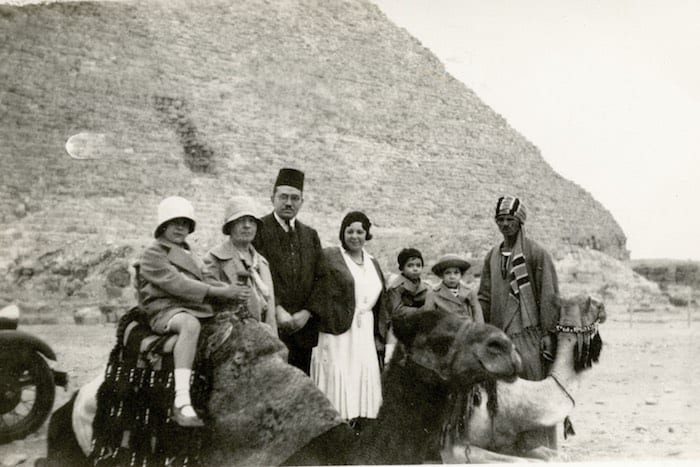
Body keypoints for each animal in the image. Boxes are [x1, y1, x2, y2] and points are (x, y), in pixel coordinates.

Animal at [442, 296, 608, 464]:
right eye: (594, 304)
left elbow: (554, 455)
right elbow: (523, 461)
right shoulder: (455, 449)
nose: (604, 308)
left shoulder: (512, 443)